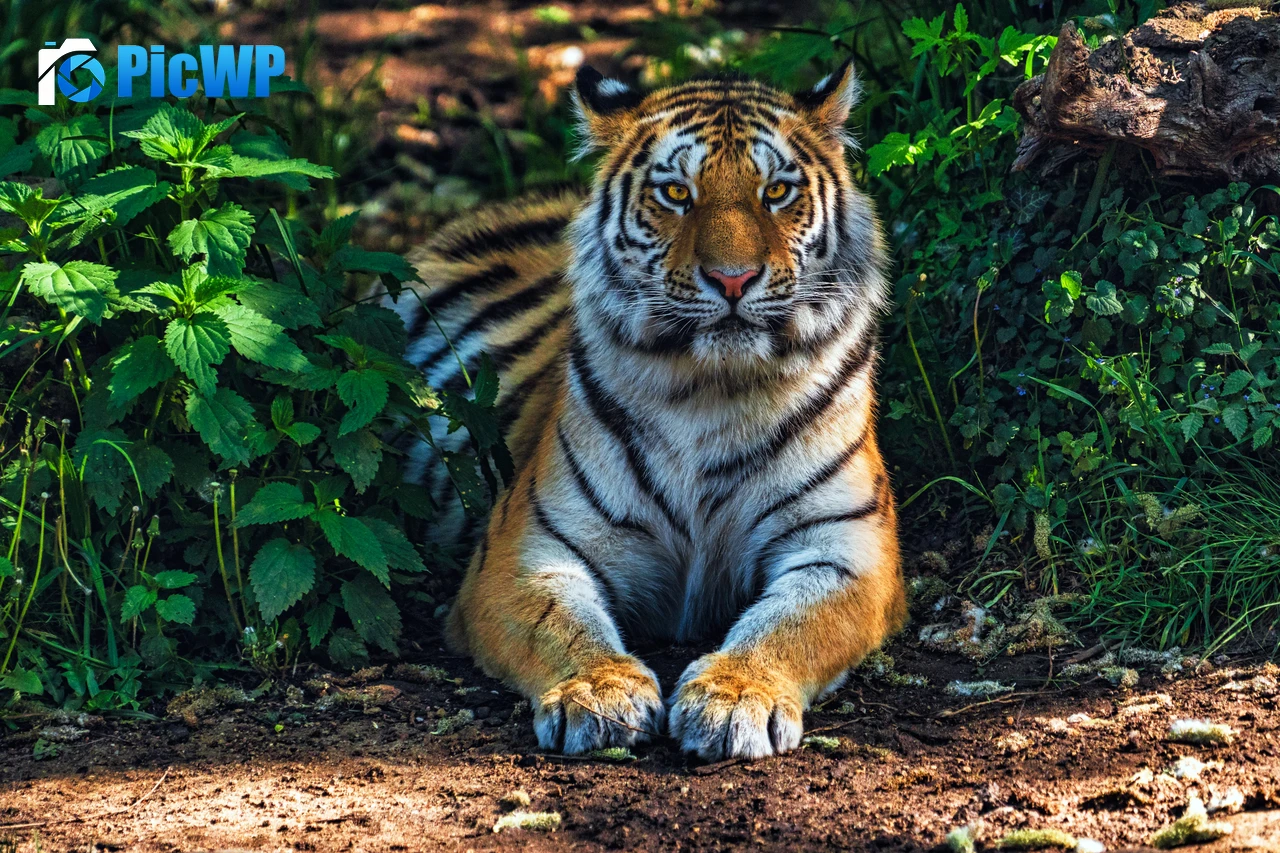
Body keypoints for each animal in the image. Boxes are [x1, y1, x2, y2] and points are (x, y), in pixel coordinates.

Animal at [389, 61, 906, 760]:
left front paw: (735, 696)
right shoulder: (525, 549)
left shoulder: (846, 547)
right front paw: (599, 692)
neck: (714, 393)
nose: (733, 279)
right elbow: (560, 624)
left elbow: (794, 624)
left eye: (776, 191)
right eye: (676, 194)